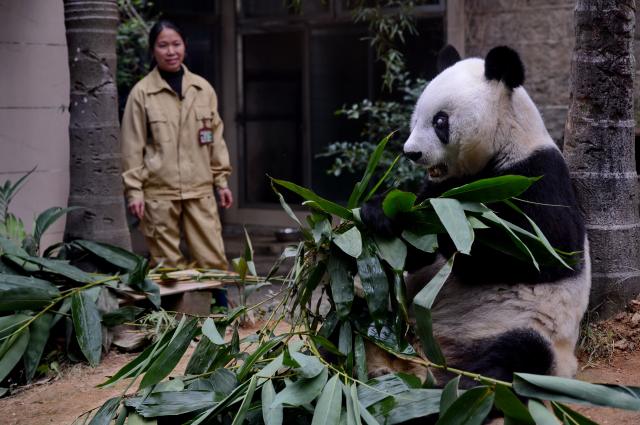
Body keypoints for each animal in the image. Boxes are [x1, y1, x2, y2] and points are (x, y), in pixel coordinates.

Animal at [362, 45, 592, 380]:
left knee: (515, 357)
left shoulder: (537, 176)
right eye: (415, 118)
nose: (411, 153)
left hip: (523, 329)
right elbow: (415, 254)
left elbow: (544, 251)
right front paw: (380, 212)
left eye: (440, 121)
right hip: (395, 312)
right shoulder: (443, 187)